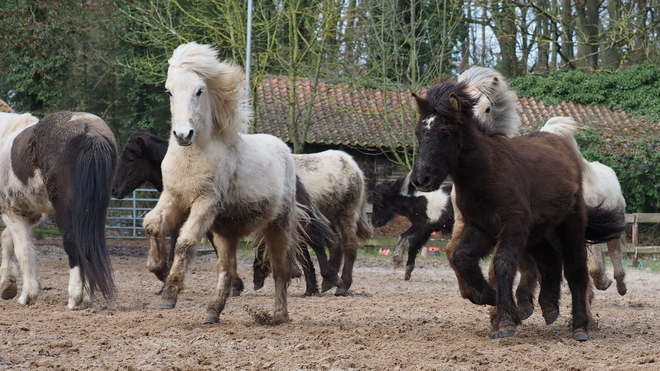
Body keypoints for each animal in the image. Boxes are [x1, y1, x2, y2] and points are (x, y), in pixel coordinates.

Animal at [0, 112, 116, 310]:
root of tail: (90, 132)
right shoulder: (29, 214)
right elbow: (7, 239)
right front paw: (8, 283)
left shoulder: (12, 212)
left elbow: (23, 250)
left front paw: (27, 295)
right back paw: (86, 297)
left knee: (74, 244)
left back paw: (75, 297)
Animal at [144, 42, 300, 324]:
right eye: (169, 91)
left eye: (199, 90)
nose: (183, 135)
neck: (192, 156)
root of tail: (284, 149)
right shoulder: (173, 197)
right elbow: (151, 224)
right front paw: (159, 268)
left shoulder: (205, 202)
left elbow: (185, 242)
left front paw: (170, 293)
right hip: (226, 233)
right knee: (227, 270)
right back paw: (212, 312)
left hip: (277, 226)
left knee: (280, 270)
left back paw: (279, 315)